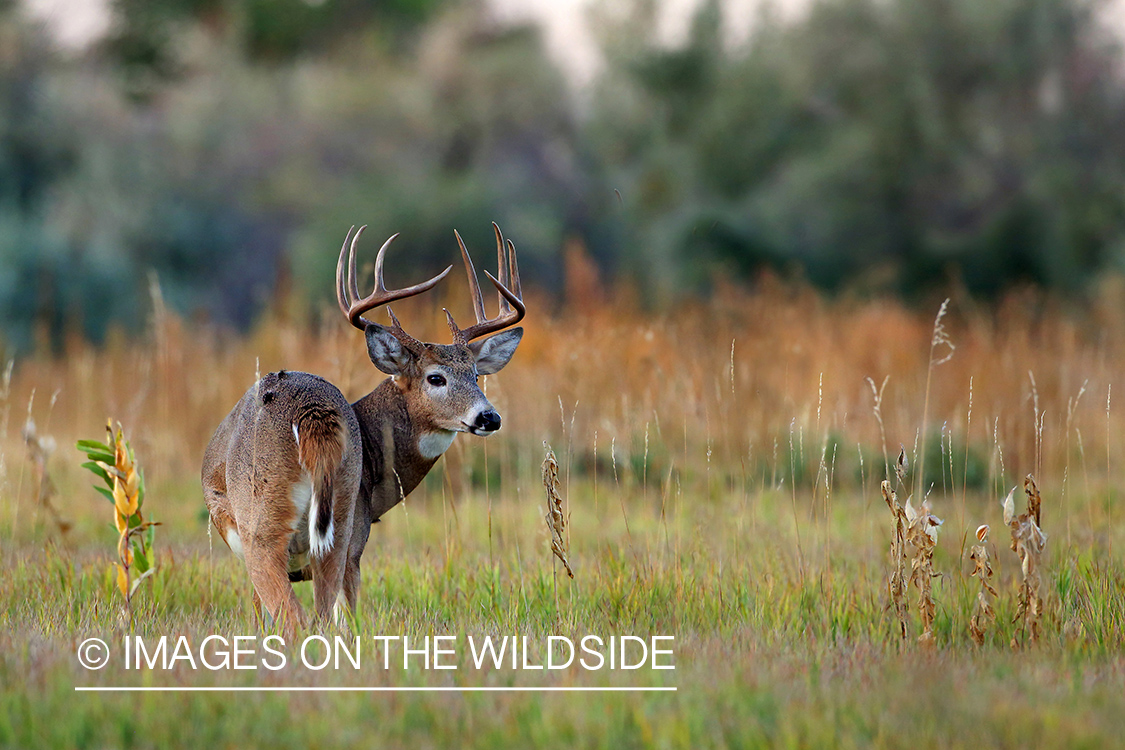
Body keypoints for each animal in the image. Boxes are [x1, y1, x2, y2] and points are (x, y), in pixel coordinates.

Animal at [200, 222, 524, 634]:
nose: (489, 417)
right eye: (436, 377)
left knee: (304, 619)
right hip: (312, 525)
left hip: (289, 525)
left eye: (477, 376)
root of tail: (310, 412)